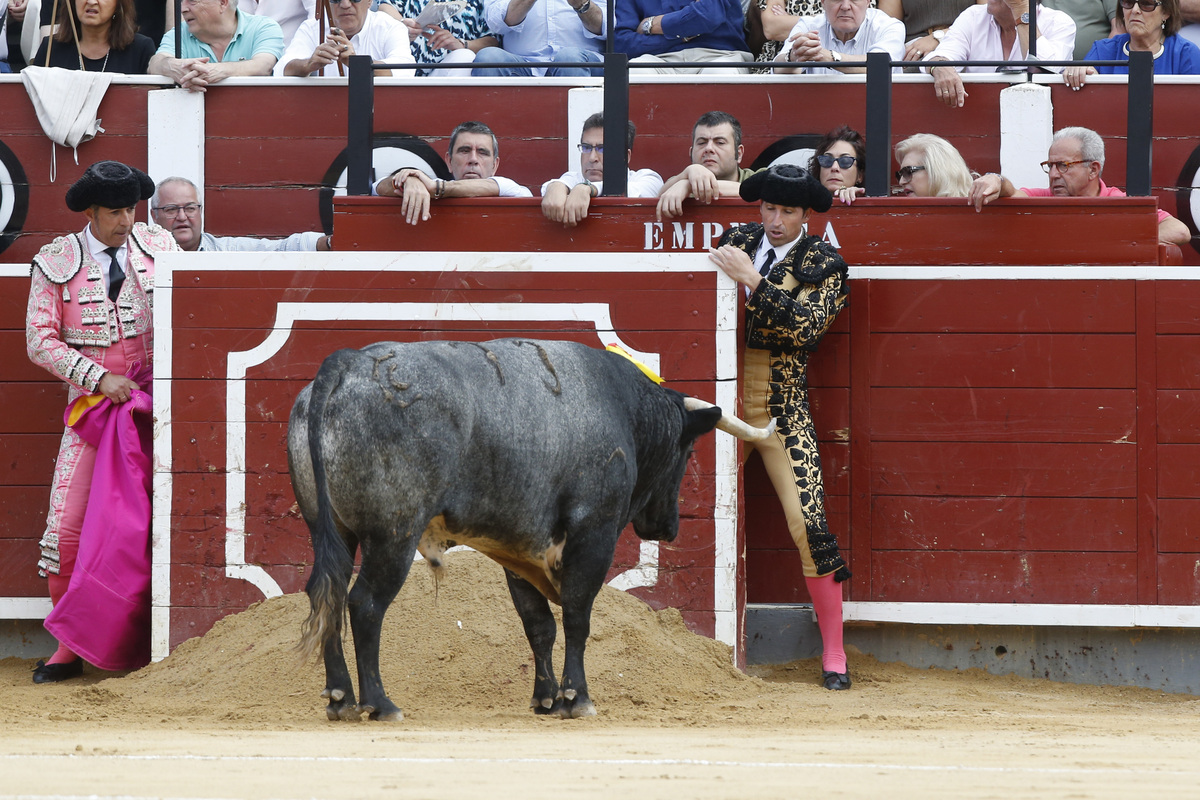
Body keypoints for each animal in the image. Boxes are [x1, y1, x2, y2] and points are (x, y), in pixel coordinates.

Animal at [292, 338, 777, 719]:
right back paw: (380, 703)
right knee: (365, 604)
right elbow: (578, 616)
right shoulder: (593, 534)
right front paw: (577, 698)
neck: (624, 407)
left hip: (328, 530)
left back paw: (340, 698)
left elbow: (538, 623)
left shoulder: (517, 547)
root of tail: (348, 363)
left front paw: (546, 699)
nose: (670, 526)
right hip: (394, 535)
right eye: (688, 451)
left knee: (326, 593)